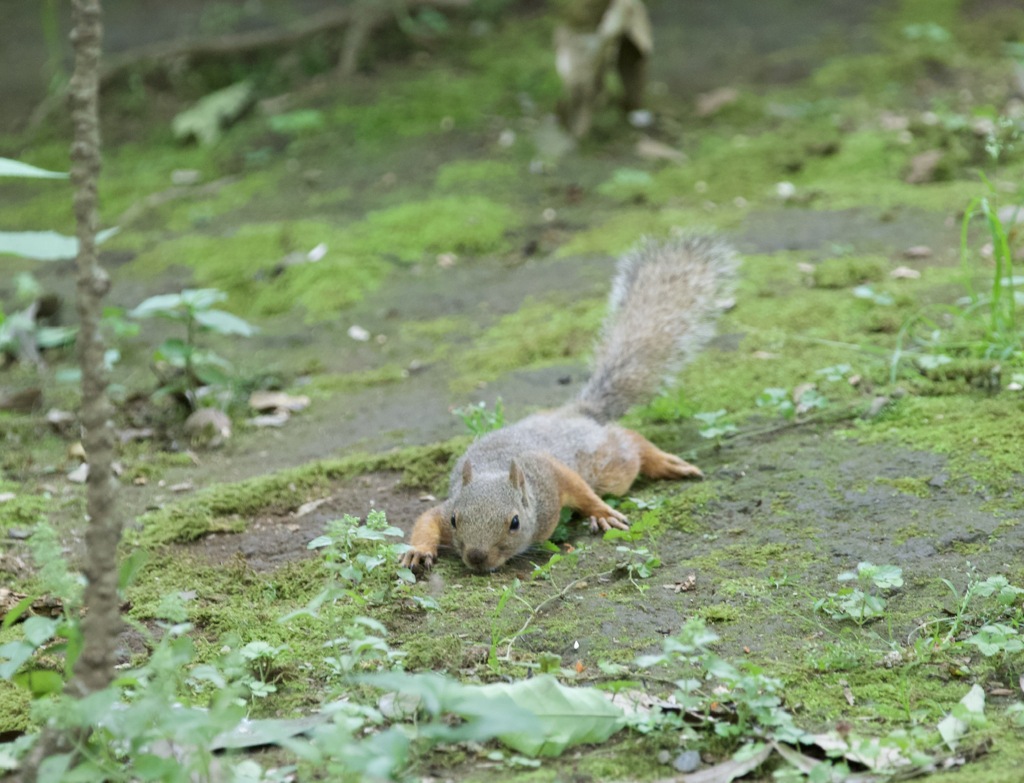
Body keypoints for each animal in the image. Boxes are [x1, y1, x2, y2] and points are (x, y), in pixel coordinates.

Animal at [397, 233, 737, 573]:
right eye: (456, 520)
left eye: (515, 522)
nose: (477, 558)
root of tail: (575, 413)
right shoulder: (444, 509)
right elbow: (426, 520)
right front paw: (417, 550)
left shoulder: (550, 476)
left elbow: (579, 488)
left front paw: (602, 512)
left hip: (608, 464)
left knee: (628, 443)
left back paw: (663, 461)